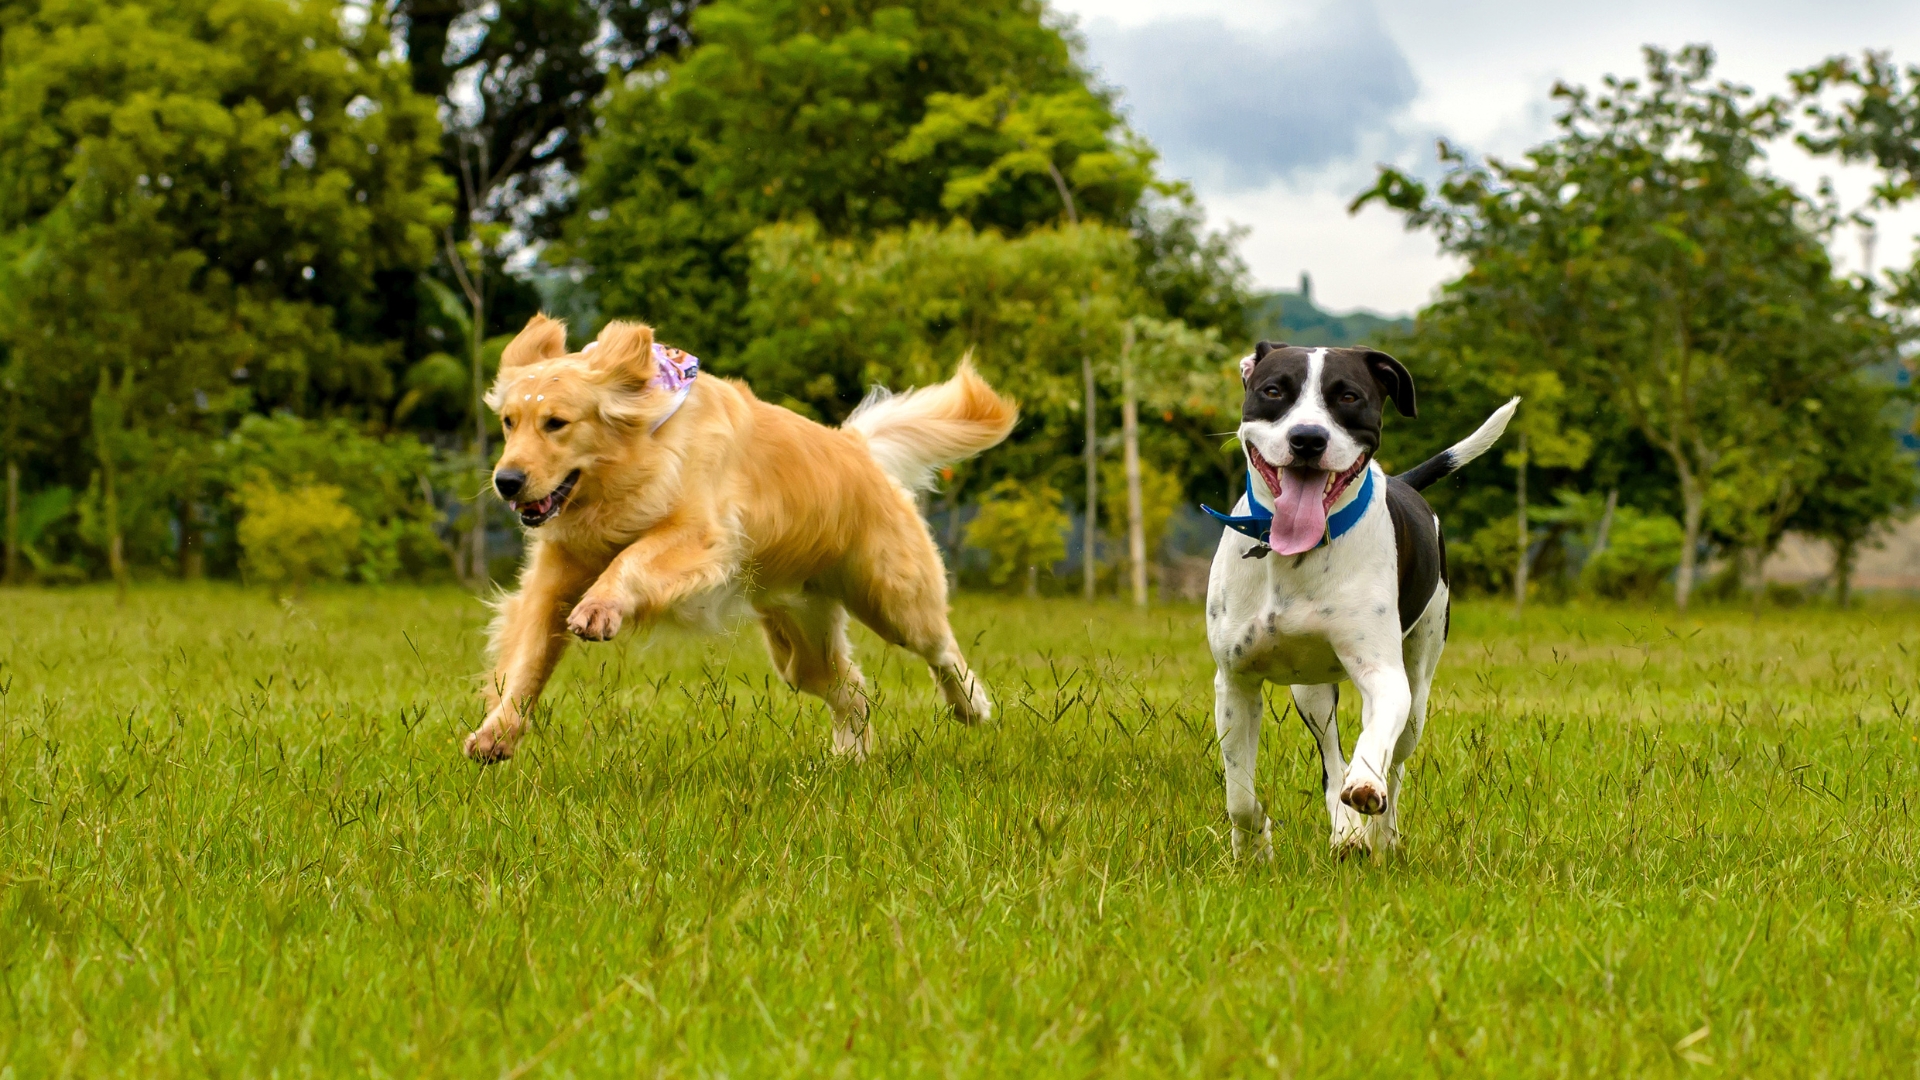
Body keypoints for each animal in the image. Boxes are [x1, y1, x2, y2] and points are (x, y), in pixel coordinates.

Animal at [464, 315, 1021, 760]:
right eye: (509, 422)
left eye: (556, 423)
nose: (506, 481)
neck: (634, 459)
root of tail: (856, 446)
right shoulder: (556, 577)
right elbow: (527, 660)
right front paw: (497, 733)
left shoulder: (701, 535)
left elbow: (634, 558)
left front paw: (601, 607)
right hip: (799, 641)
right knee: (852, 690)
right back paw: (851, 757)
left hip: (891, 598)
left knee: (942, 648)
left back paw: (971, 706)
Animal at [1213, 340, 1512, 853]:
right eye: (1273, 391)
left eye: (1348, 397)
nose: (1307, 438)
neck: (1295, 555)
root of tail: (1404, 483)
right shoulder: (1235, 683)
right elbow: (1241, 798)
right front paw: (1253, 848)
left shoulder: (1384, 675)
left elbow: (1374, 749)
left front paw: (1367, 788)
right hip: (1310, 692)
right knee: (1331, 761)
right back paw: (1346, 830)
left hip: (1417, 692)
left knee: (1395, 761)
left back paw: (1380, 833)